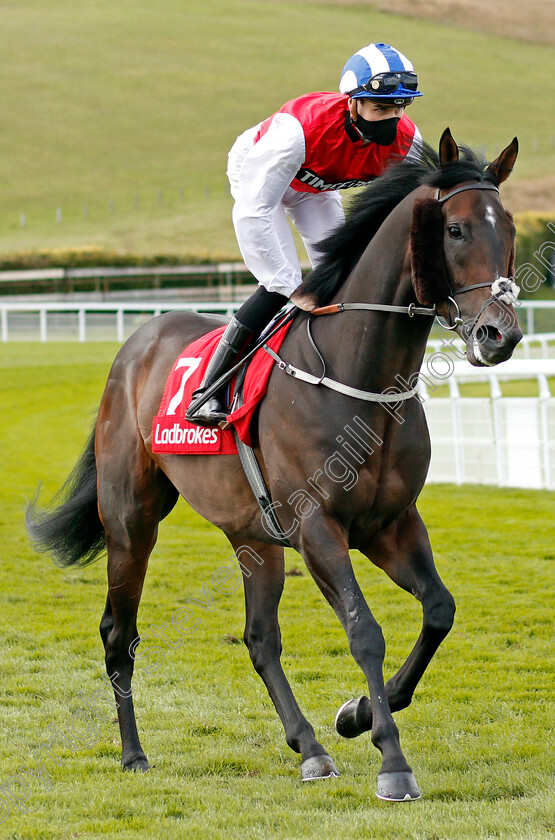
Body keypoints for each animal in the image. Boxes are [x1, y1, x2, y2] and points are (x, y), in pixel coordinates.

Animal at [26, 130, 520, 800]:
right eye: (458, 229)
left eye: (511, 226)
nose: (502, 335)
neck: (358, 375)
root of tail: (134, 344)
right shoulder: (317, 527)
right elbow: (364, 629)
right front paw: (392, 760)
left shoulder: (391, 524)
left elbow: (438, 612)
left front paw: (356, 714)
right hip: (131, 519)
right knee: (118, 633)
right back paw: (133, 753)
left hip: (254, 536)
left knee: (260, 638)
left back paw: (309, 748)